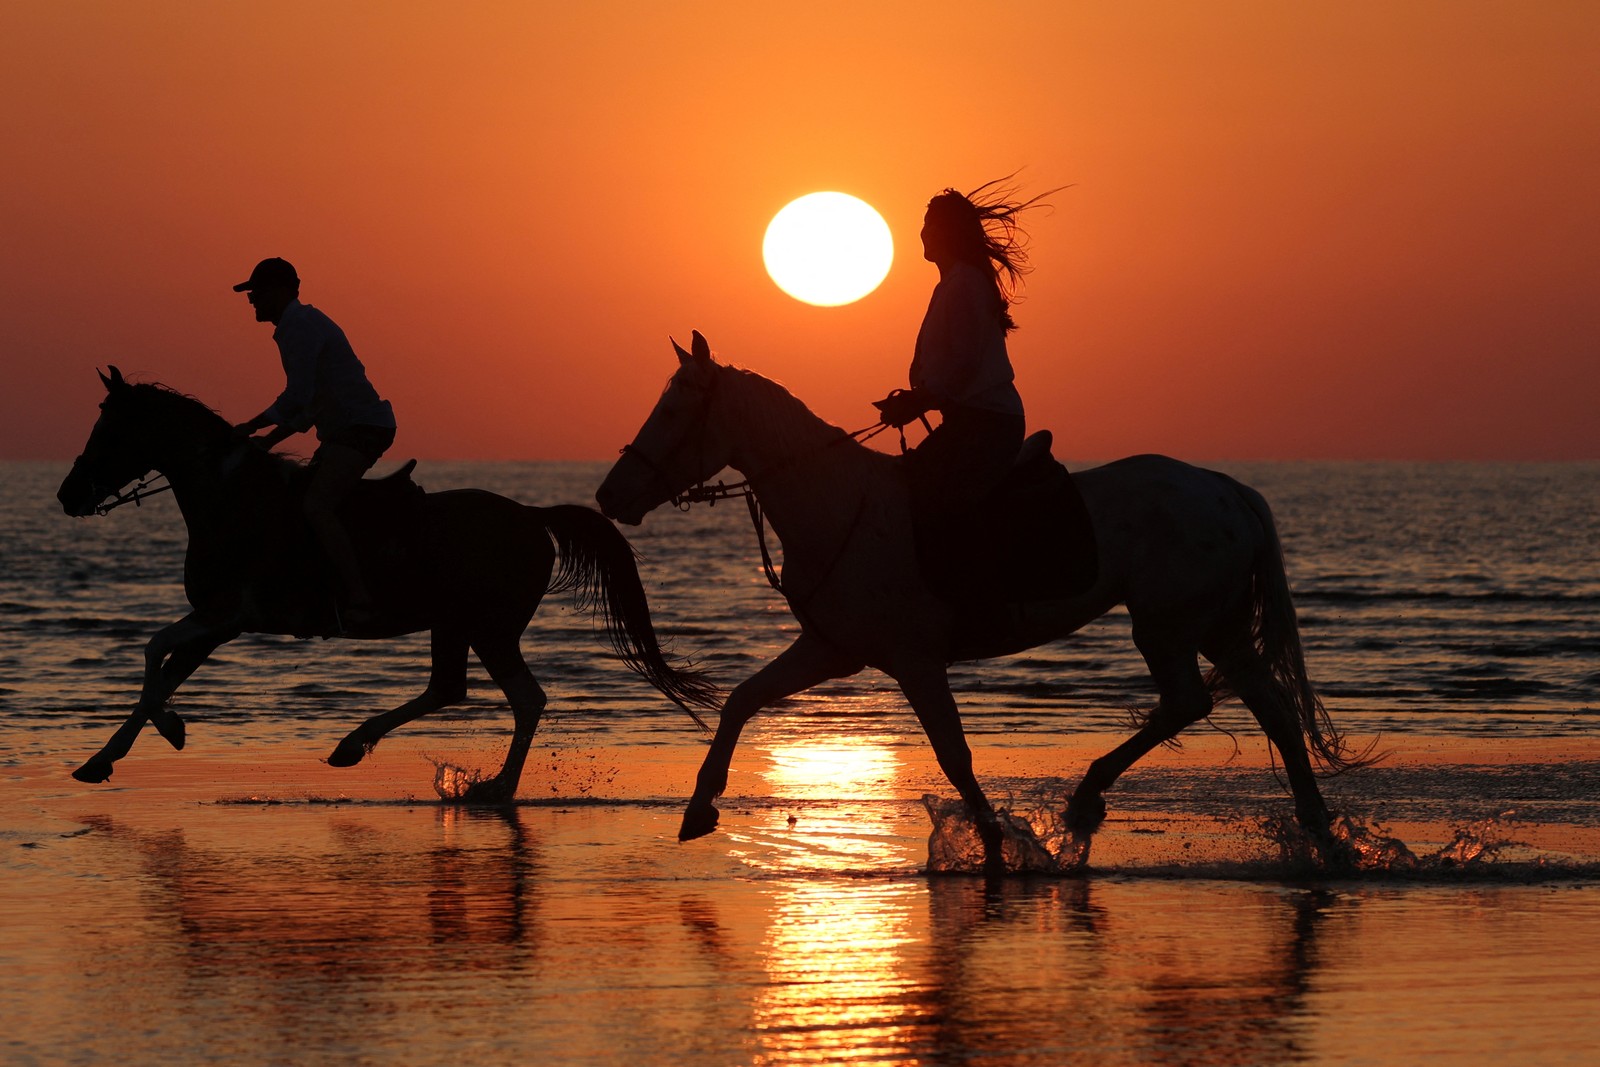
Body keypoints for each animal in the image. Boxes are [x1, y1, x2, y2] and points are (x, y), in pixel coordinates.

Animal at [57, 367, 719, 797]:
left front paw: (150, 738)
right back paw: (357, 745)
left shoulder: (227, 616)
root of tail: (533, 517)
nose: (68, 495)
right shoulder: (218, 623)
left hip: (489, 627)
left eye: (109, 430)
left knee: (522, 697)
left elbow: (155, 654)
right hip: (455, 625)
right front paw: (112, 754)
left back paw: (492, 787)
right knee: (451, 689)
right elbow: (162, 668)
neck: (233, 498)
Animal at [596, 332, 1368, 871]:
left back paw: (1087, 799)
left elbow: (953, 753)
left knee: (1190, 702)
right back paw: (1320, 837)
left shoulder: (913, 661)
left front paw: (994, 846)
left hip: (1167, 624)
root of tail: (1224, 487)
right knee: (1269, 707)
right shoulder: (832, 650)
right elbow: (742, 700)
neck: (838, 504)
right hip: (1215, 625)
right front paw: (698, 808)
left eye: (675, 408)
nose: (610, 495)